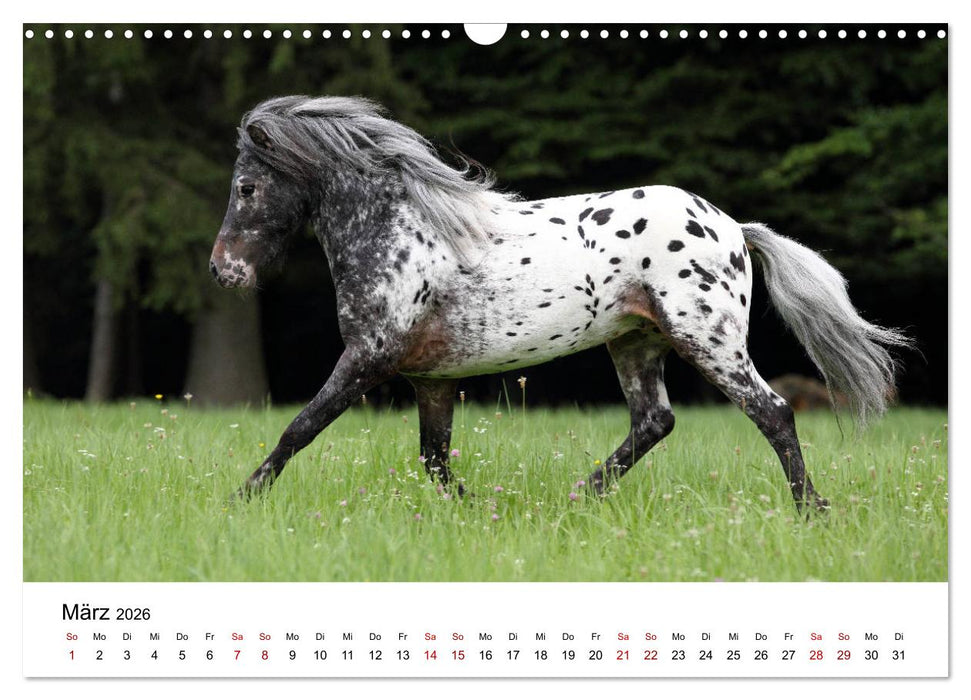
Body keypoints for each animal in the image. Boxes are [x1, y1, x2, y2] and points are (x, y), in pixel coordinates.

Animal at [209, 95, 909, 512]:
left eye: (246, 187)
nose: (222, 271)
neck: (405, 231)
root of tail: (734, 227)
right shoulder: (430, 379)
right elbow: (434, 459)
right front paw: (478, 511)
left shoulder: (367, 359)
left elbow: (299, 427)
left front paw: (241, 498)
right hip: (635, 343)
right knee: (655, 422)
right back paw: (580, 495)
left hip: (709, 341)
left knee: (774, 413)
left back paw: (811, 511)